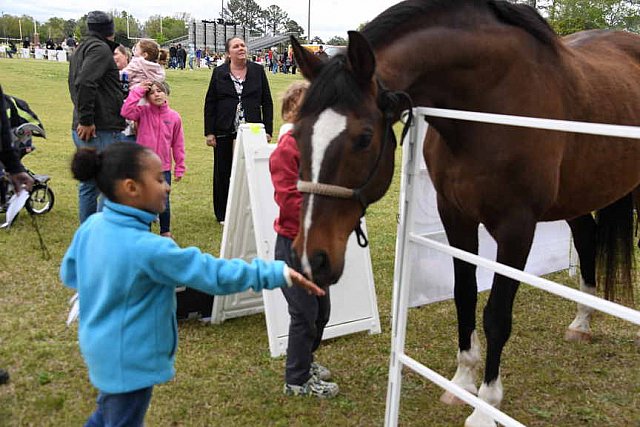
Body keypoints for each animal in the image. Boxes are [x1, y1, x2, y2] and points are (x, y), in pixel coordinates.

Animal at [292, 1, 640, 426]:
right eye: (297, 132)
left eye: (364, 137)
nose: (311, 259)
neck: (491, 103)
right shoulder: (455, 216)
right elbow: (464, 294)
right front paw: (462, 381)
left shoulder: (516, 229)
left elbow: (497, 314)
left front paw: (486, 405)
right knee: (587, 239)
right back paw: (582, 322)